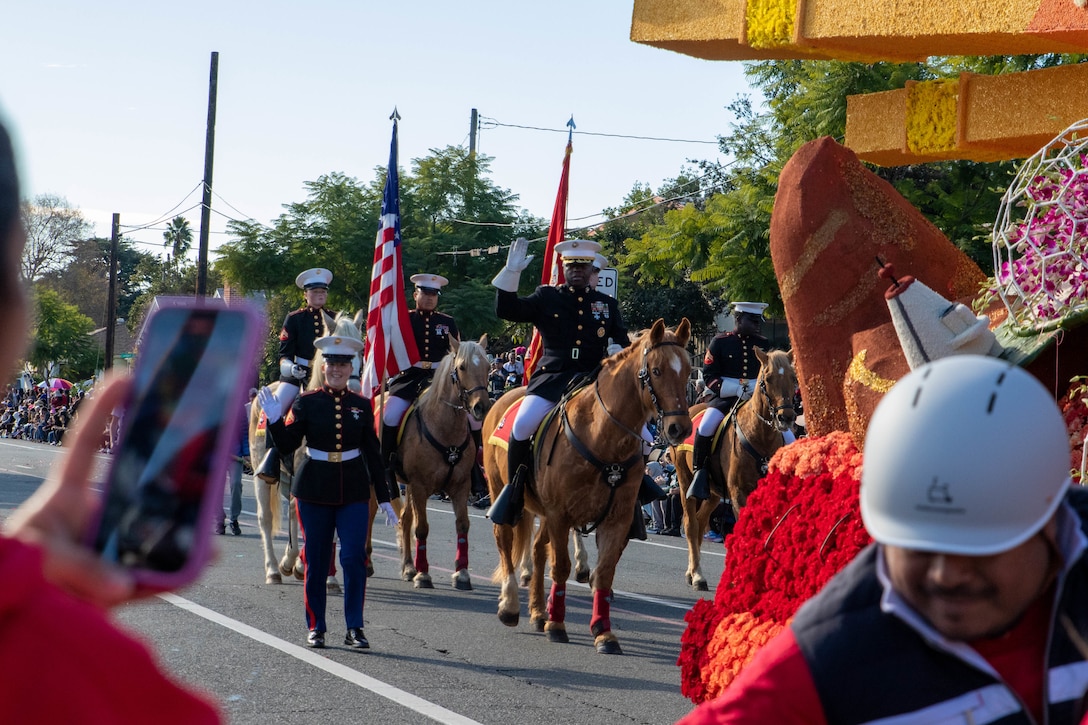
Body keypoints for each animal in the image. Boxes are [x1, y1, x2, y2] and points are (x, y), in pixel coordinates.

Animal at [389, 335, 491, 592]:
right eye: (462, 367)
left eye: (487, 367)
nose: (481, 407)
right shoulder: (420, 486)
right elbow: (422, 527)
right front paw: (424, 574)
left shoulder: (461, 486)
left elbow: (462, 525)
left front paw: (462, 573)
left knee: (405, 518)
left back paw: (408, 567)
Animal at [483, 320, 691, 653]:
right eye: (656, 371)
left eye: (687, 371)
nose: (679, 429)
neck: (602, 436)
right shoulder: (560, 514)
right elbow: (561, 566)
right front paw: (557, 625)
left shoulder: (616, 518)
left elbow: (604, 572)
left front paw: (603, 631)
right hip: (500, 490)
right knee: (505, 540)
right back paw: (511, 606)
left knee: (538, 550)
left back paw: (538, 612)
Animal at [674, 348, 796, 592]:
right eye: (767, 379)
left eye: (793, 378)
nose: (786, 417)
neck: (760, 438)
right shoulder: (739, 493)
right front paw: (741, 577)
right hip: (685, 482)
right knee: (691, 525)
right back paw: (697, 575)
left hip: (713, 493)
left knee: (700, 524)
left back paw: (693, 571)